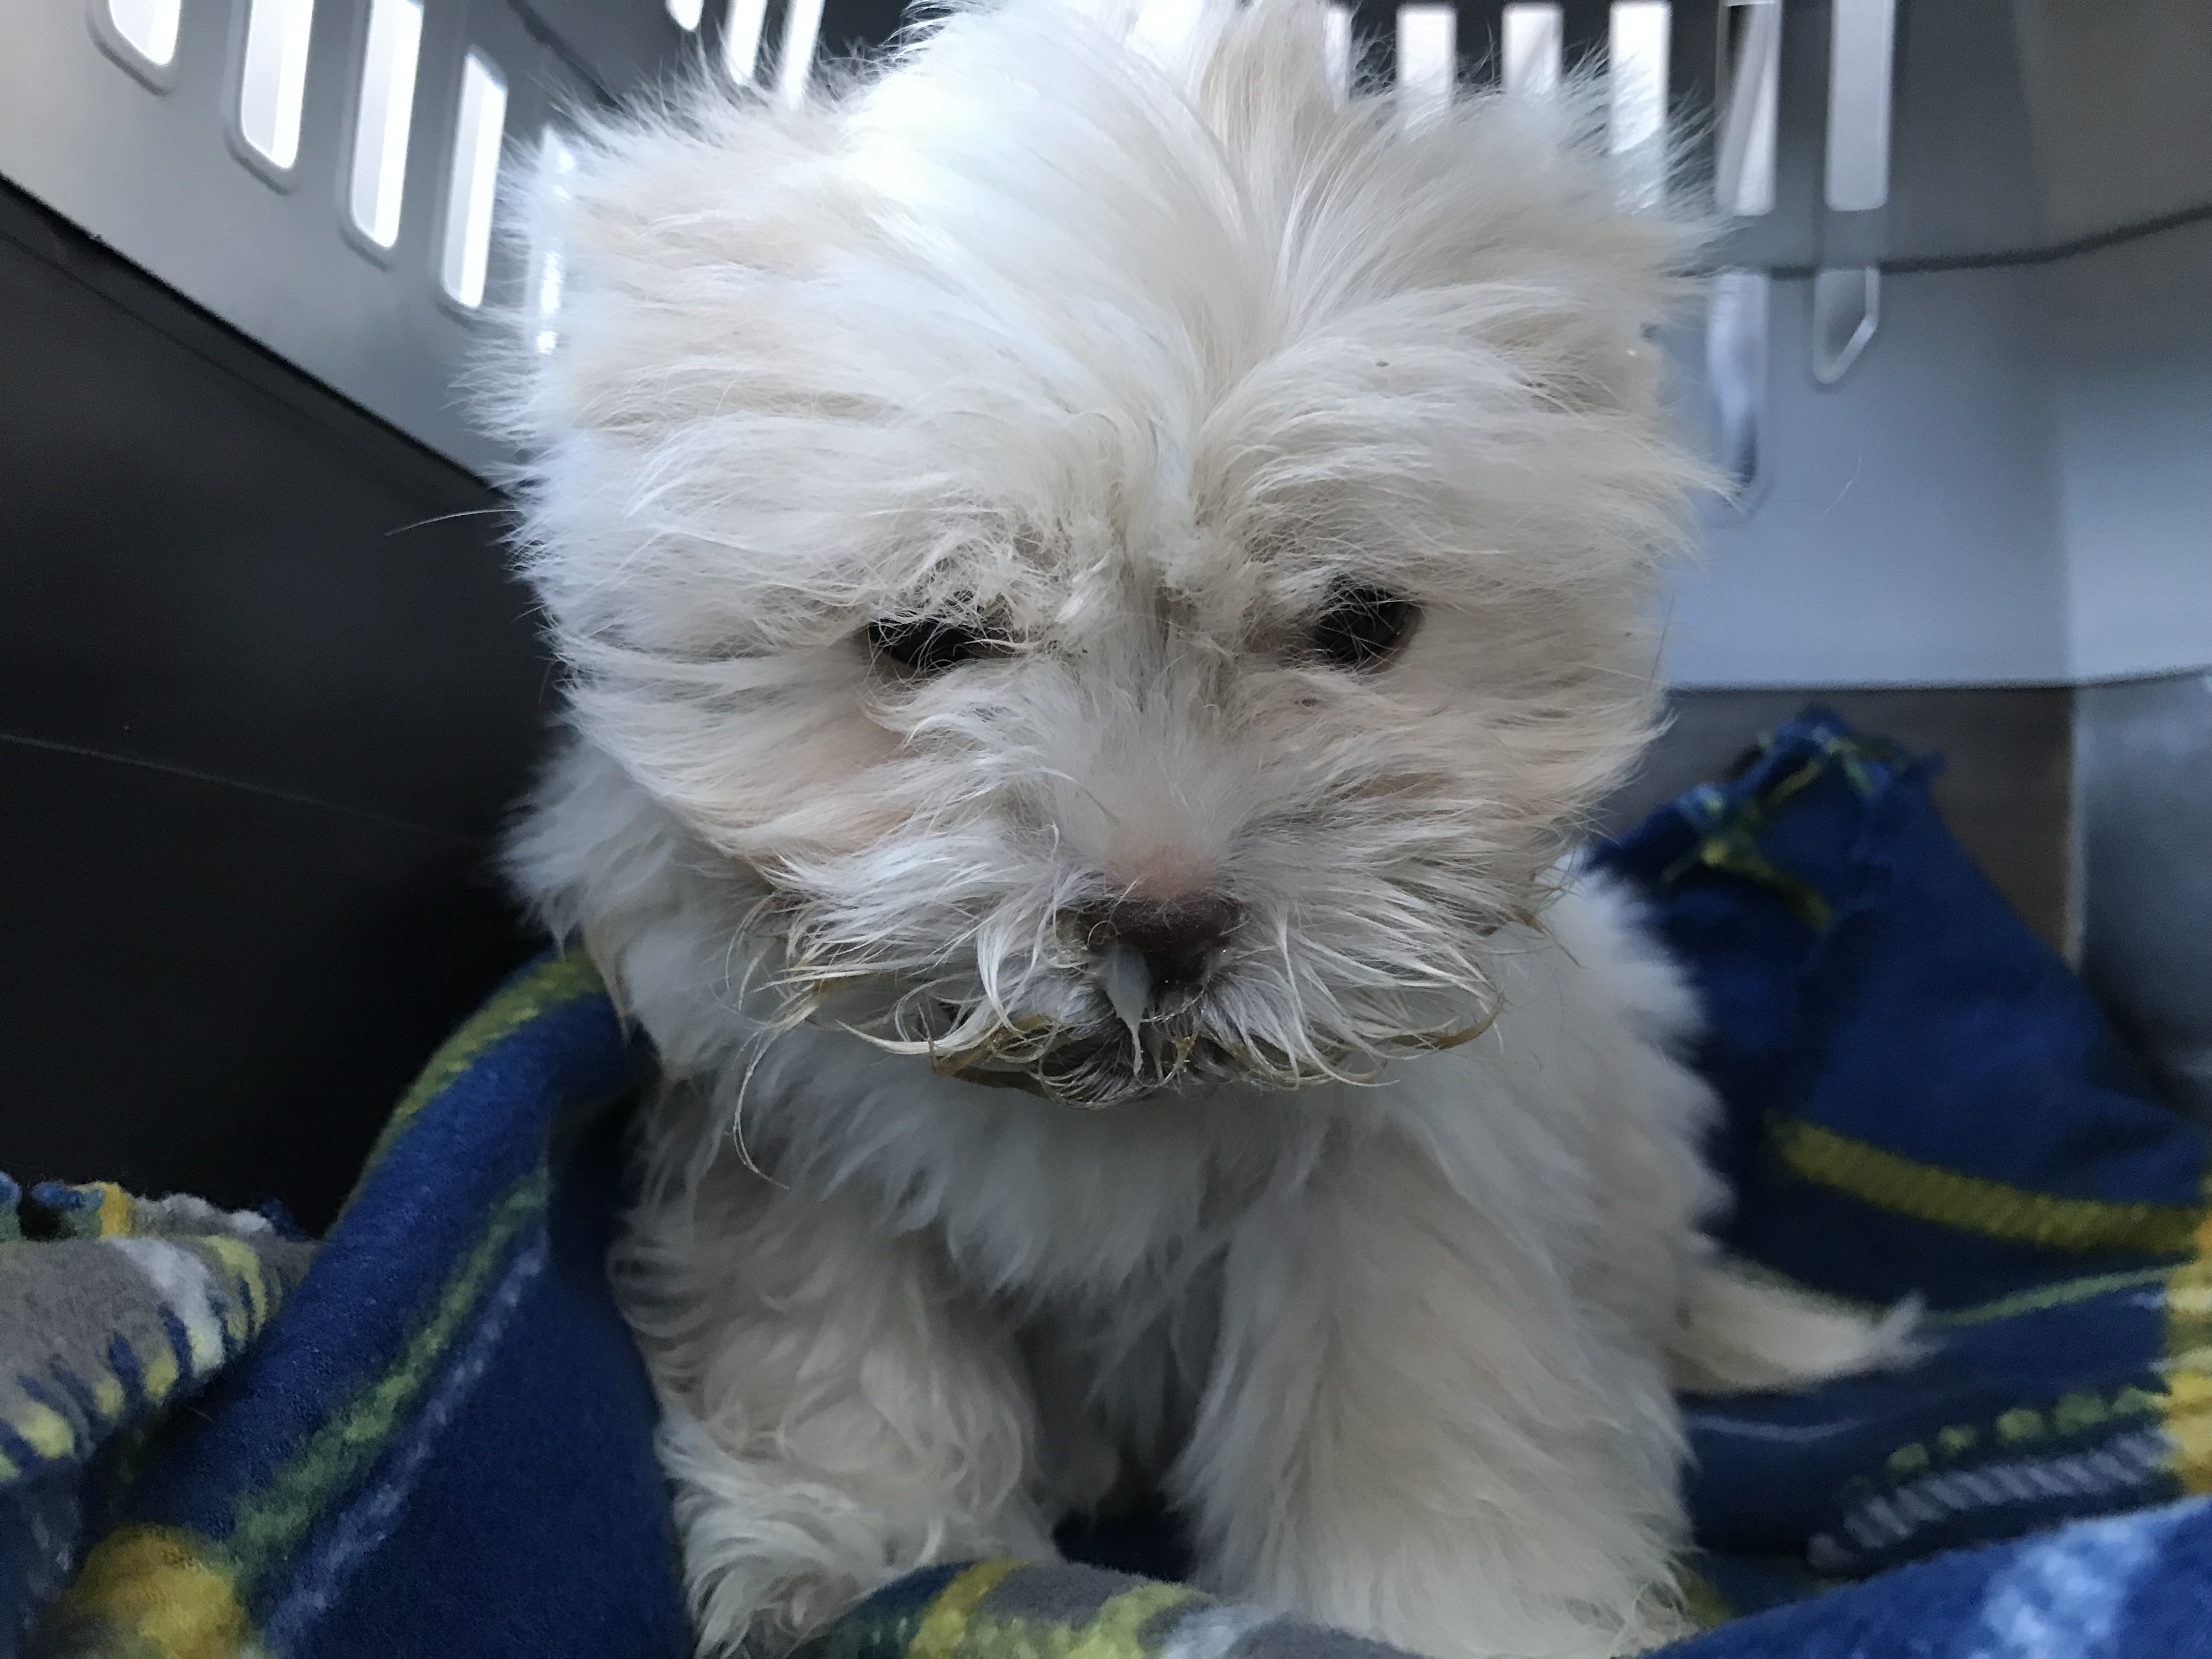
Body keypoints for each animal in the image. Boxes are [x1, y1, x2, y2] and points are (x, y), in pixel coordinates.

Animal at [498, 6, 1902, 1654]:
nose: (1161, 924)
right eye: (924, 637)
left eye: (1359, 626)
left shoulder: (1409, 1174)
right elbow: (840, 1338)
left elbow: (1409, 1394)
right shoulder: (782, 1122)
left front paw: (1445, 1607)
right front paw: (857, 1546)